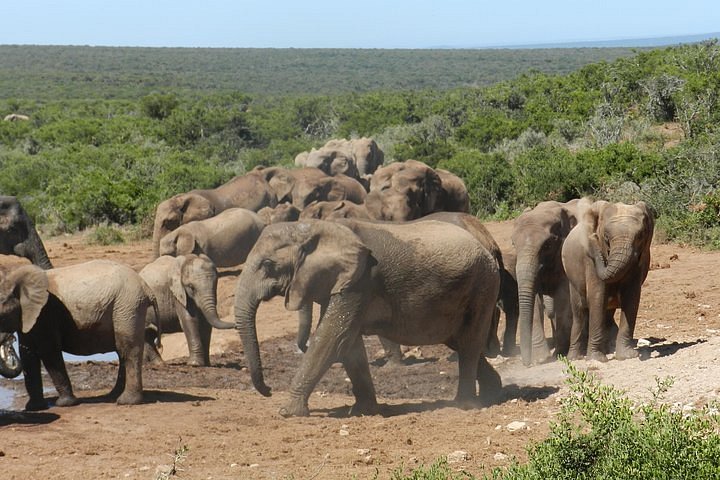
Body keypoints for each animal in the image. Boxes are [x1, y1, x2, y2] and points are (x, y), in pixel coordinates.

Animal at [0, 260, 155, 410]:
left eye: (2, 315)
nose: (9, 340)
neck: (13, 278)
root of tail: (145, 285)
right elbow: (28, 354)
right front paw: (34, 408)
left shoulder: (46, 312)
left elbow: (49, 352)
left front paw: (65, 404)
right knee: (122, 350)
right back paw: (113, 396)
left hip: (128, 306)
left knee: (128, 348)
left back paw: (126, 401)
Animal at [233, 218, 504, 416]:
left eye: (268, 264)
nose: (268, 390)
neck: (317, 226)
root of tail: (486, 246)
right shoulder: (344, 284)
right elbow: (349, 344)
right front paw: (363, 411)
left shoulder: (360, 282)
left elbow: (331, 338)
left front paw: (287, 412)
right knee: (460, 342)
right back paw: (494, 392)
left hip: (483, 286)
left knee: (469, 343)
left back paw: (464, 405)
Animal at [512, 197, 580, 366]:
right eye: (513, 244)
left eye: (548, 245)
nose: (526, 364)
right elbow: (535, 300)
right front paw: (540, 359)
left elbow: (564, 297)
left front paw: (559, 354)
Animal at [560, 197, 656, 362]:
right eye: (605, 237)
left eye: (640, 236)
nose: (592, 237)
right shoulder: (590, 263)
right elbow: (597, 296)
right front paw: (597, 359)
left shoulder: (641, 258)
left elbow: (632, 297)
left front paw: (627, 356)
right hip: (572, 279)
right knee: (579, 312)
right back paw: (574, 358)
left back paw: (607, 349)